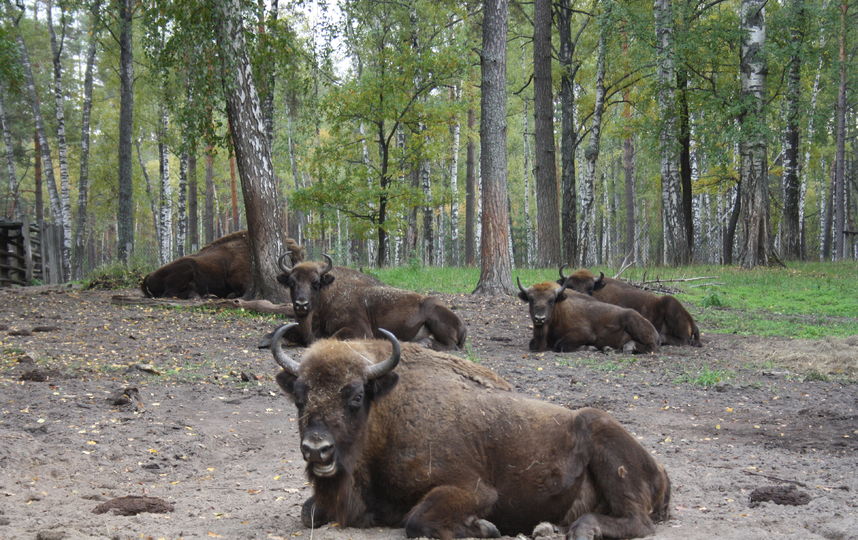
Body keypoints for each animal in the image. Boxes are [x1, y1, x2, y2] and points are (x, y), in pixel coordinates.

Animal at [268, 322, 668, 536]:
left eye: (354, 397)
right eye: (300, 398)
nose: (317, 449)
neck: (386, 414)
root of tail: (660, 470)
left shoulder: (472, 489)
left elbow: (416, 520)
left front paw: (485, 529)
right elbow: (309, 512)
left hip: (604, 440)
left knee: (638, 521)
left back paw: (581, 530)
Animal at [274, 254, 464, 350]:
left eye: (315, 283)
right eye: (291, 283)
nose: (301, 304)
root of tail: (460, 323)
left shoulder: (360, 329)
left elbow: (329, 338)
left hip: (435, 319)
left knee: (450, 346)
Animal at [512, 278, 660, 354]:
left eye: (551, 300)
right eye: (531, 299)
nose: (539, 318)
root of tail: (655, 331)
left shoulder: (585, 334)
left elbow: (560, 345)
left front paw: (590, 347)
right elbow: (532, 344)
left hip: (633, 323)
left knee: (650, 347)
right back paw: (611, 348)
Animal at [560, 268, 700, 348]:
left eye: (590, 288)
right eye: (570, 286)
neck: (598, 291)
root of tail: (691, 321)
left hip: (670, 304)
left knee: (683, 340)